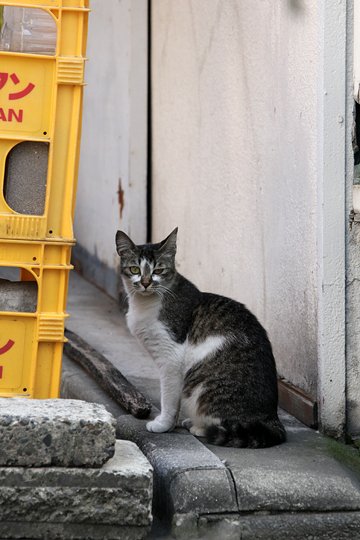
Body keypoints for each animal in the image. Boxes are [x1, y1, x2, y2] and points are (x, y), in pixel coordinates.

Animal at [116, 228, 286, 448]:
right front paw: (170, 424)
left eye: (159, 270)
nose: (146, 283)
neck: (145, 304)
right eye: (135, 269)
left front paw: (163, 424)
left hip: (202, 387)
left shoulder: (170, 358)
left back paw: (200, 428)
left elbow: (169, 398)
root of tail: (272, 420)